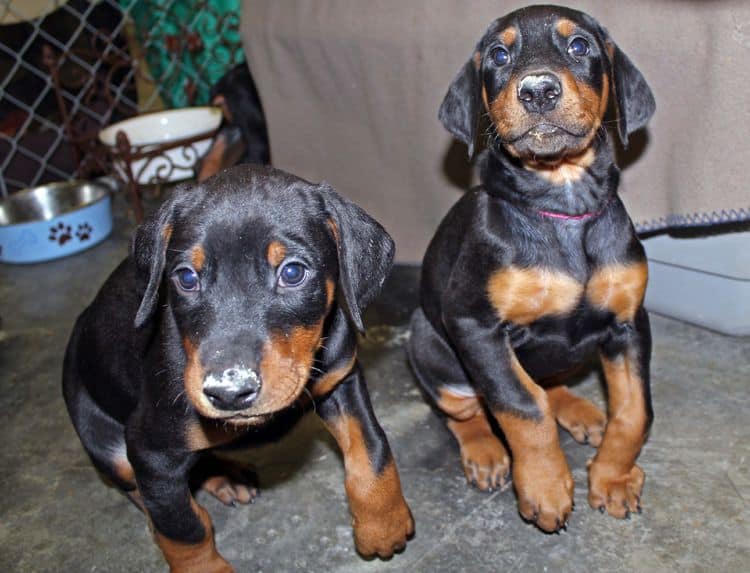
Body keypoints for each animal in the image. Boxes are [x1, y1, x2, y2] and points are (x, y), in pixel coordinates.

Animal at [63, 163, 418, 568]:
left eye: (292, 272)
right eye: (186, 277)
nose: (229, 392)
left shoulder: (341, 378)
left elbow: (372, 449)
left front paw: (383, 526)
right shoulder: (148, 449)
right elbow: (183, 528)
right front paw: (203, 566)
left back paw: (225, 478)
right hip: (102, 436)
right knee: (141, 490)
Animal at [408, 4, 656, 532]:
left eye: (580, 45)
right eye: (499, 55)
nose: (538, 89)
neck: (561, 201)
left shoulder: (629, 321)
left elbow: (634, 410)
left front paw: (613, 477)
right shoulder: (475, 325)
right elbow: (521, 405)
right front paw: (545, 486)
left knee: (551, 382)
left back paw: (581, 411)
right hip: (429, 345)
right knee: (465, 412)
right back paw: (485, 452)